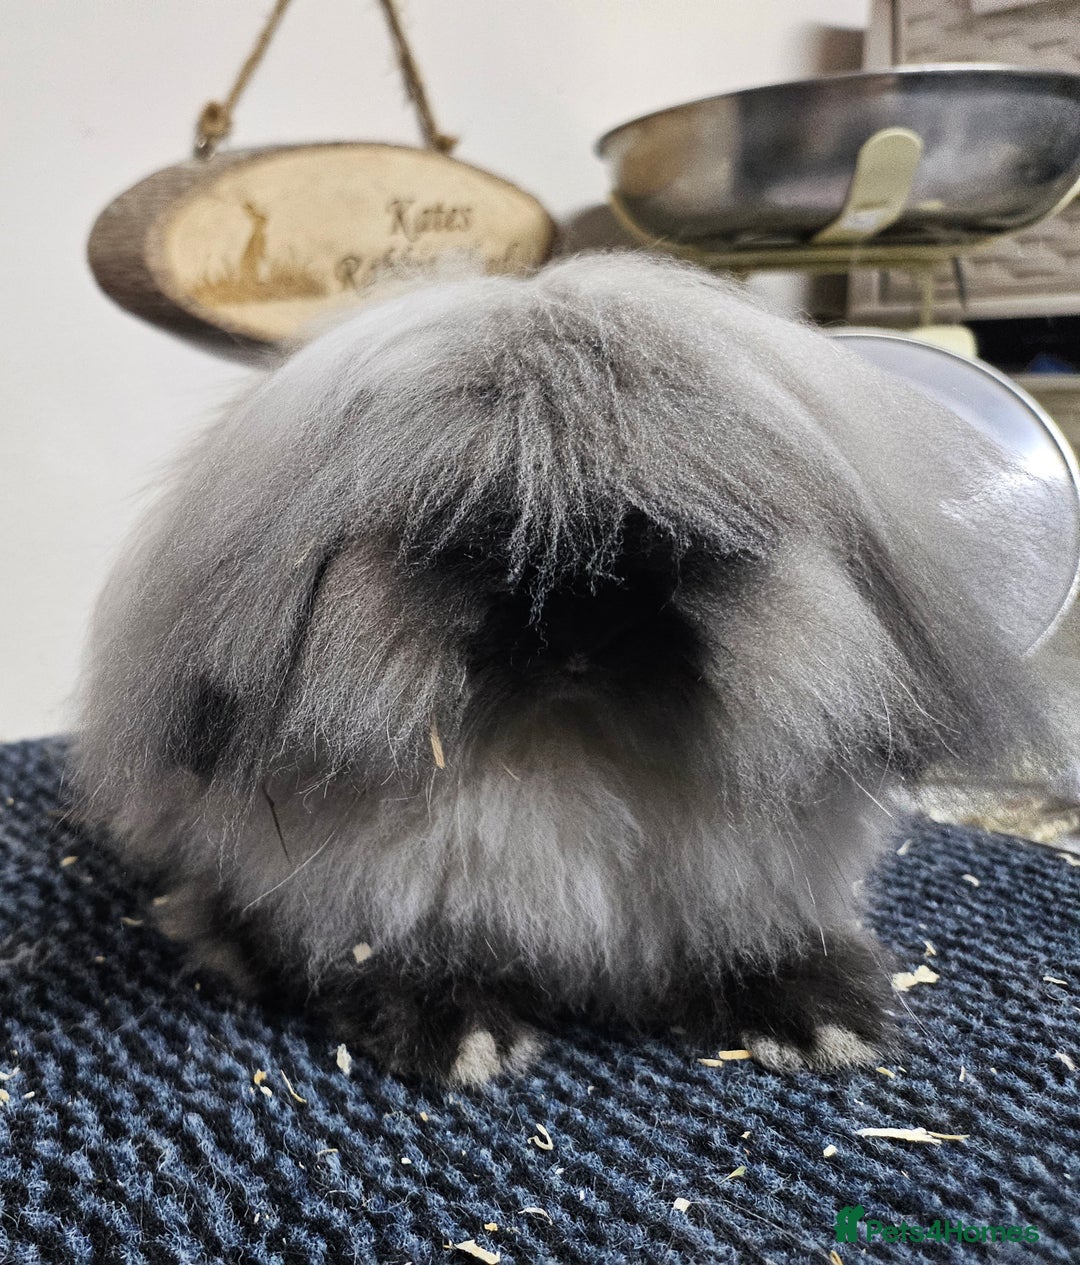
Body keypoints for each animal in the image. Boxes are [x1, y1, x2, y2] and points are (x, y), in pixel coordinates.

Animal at [73, 252, 1065, 1085]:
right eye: (464, 539)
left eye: (680, 540)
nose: (578, 634)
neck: (566, 750)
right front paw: (462, 1037)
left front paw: (823, 1020)